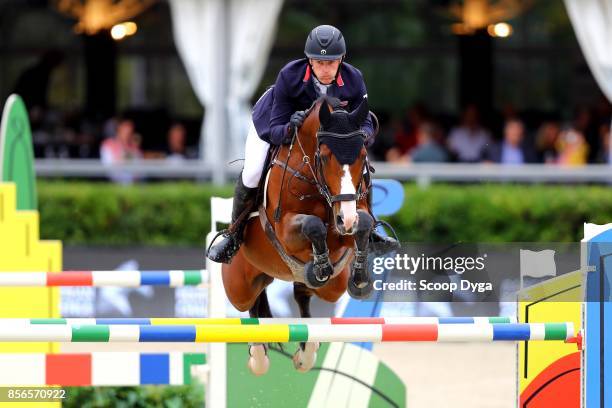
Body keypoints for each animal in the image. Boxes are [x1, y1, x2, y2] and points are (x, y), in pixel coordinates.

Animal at [221, 96, 372, 376]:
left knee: (302, 293)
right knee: (251, 304)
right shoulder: (285, 230)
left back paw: (306, 351)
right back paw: (258, 356)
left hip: (332, 287)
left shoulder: (347, 223)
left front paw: (359, 277)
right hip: (238, 286)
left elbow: (363, 224)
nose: (345, 219)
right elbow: (313, 225)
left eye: (362, 156)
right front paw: (321, 263)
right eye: (325, 157)